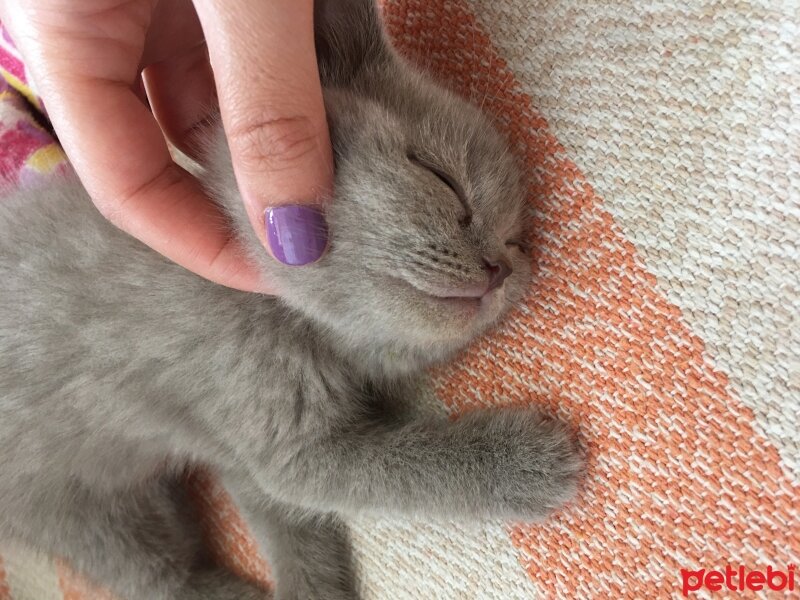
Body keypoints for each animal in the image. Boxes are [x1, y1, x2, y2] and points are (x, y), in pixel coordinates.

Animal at [0, 1, 580, 600]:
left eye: (516, 241)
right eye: (440, 176)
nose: (499, 267)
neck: (284, 316)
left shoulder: (241, 441)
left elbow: (282, 505)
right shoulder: (287, 449)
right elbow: (396, 471)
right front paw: (523, 464)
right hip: (81, 513)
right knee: (159, 578)